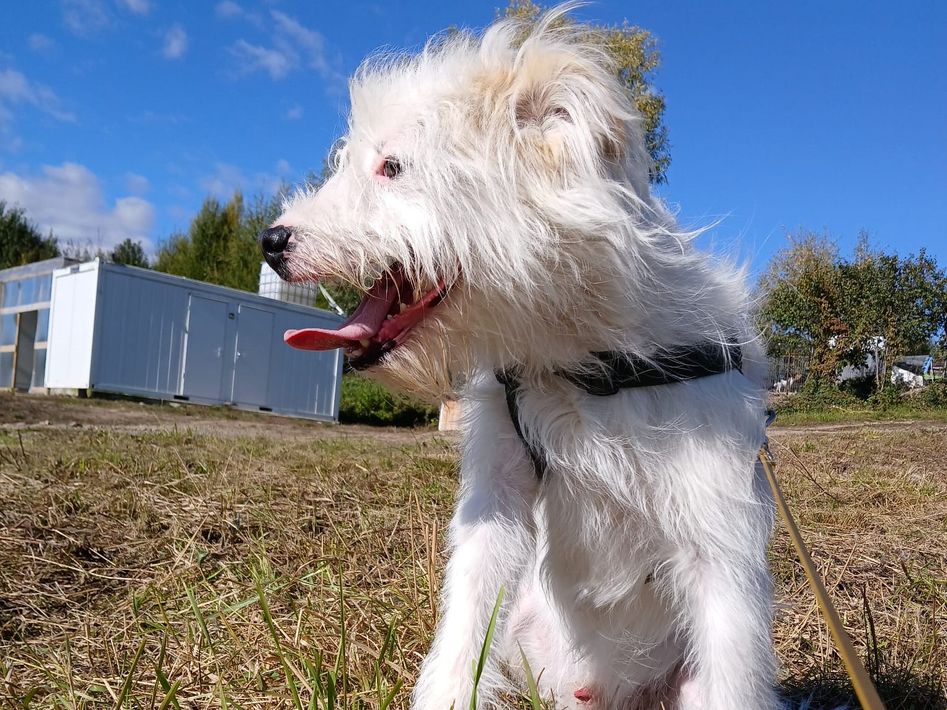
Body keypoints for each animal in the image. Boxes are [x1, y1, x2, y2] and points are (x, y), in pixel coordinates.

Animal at [260, 7, 782, 709]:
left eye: (393, 167)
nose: (271, 240)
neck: (576, 357)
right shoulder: (495, 505)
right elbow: (460, 641)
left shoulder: (719, 545)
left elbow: (733, 674)